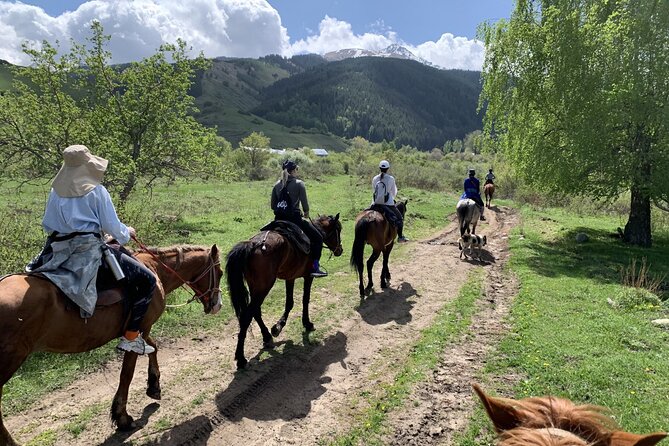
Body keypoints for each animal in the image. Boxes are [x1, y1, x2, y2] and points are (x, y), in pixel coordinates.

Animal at [0, 246, 224, 444]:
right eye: (220, 273)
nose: (217, 305)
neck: (154, 268)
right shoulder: (140, 329)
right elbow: (127, 374)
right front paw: (122, 418)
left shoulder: (140, 330)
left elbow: (153, 348)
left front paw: (154, 386)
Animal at [226, 214, 342, 368]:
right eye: (338, 230)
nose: (340, 250)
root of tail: (253, 244)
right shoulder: (308, 276)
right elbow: (305, 299)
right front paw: (307, 323)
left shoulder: (290, 277)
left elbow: (289, 302)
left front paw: (278, 326)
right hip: (264, 287)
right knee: (247, 316)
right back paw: (241, 357)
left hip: (255, 286)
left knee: (255, 311)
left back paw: (267, 336)